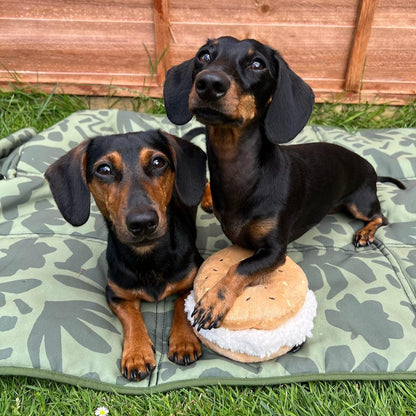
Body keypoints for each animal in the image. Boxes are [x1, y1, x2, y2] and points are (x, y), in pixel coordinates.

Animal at [45, 130, 206, 380]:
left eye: (158, 162)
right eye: (104, 169)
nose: (143, 222)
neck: (148, 257)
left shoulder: (194, 277)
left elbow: (182, 303)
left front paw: (184, 342)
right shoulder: (116, 294)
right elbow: (131, 317)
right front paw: (137, 353)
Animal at [164, 37, 404, 334]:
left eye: (258, 64)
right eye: (204, 56)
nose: (209, 83)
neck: (240, 173)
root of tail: (370, 168)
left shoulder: (275, 251)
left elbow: (240, 267)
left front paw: (213, 302)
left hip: (360, 203)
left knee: (381, 216)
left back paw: (365, 233)